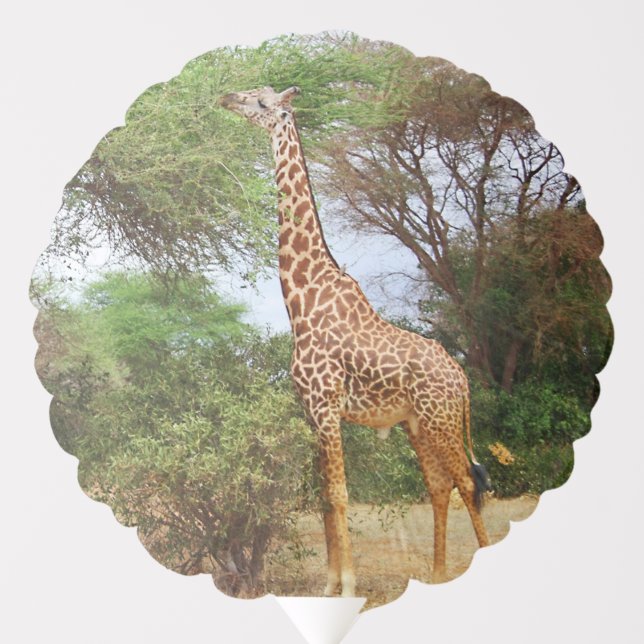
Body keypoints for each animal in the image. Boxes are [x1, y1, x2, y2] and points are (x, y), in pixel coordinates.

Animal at [219, 86, 491, 596]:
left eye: (262, 103)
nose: (226, 98)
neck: (302, 298)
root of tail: (463, 379)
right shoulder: (310, 410)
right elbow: (325, 496)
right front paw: (329, 584)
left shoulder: (327, 405)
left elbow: (341, 494)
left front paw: (347, 586)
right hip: (417, 424)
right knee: (438, 486)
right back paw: (436, 573)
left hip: (441, 420)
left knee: (467, 482)